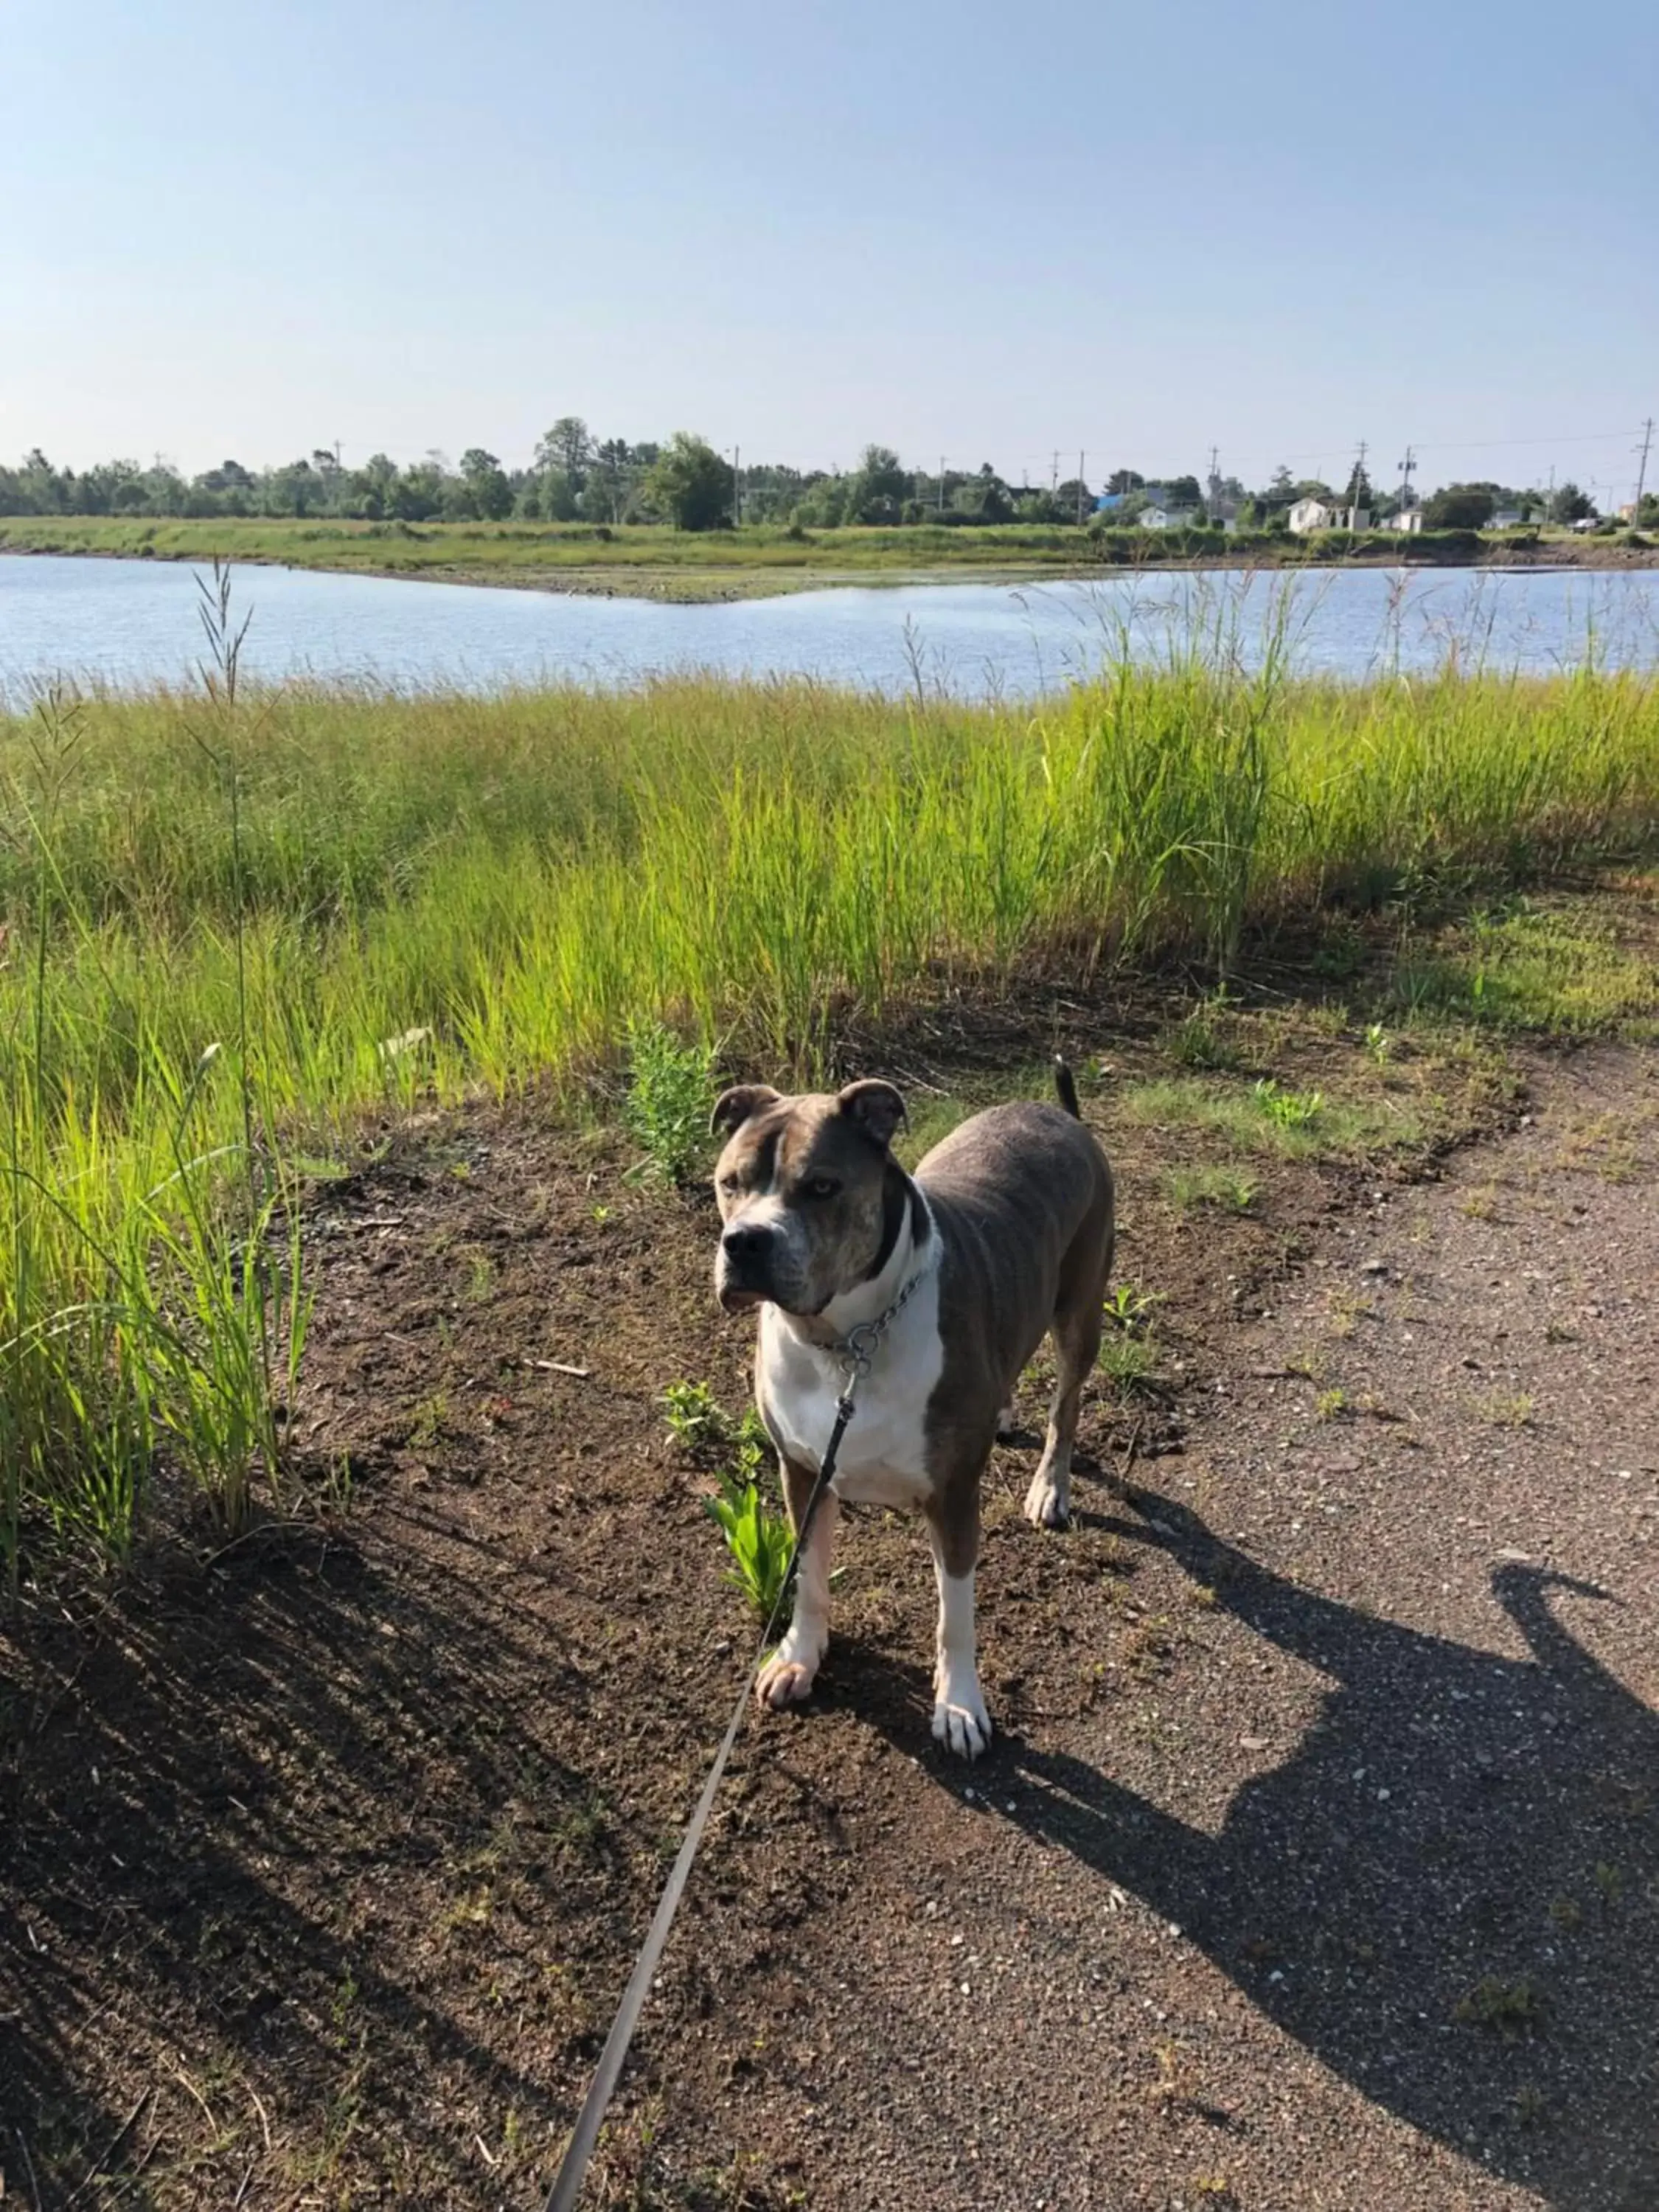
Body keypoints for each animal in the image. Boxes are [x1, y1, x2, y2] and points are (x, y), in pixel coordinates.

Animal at [717, 1066, 1119, 1761]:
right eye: (729, 1184)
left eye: (821, 1186)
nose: (743, 1242)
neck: (846, 1341)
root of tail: (1063, 1115)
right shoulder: (802, 1472)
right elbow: (809, 1579)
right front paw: (799, 1656)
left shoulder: (954, 1498)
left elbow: (955, 1614)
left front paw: (959, 1705)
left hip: (1081, 1310)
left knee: (1066, 1408)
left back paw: (1050, 1487)